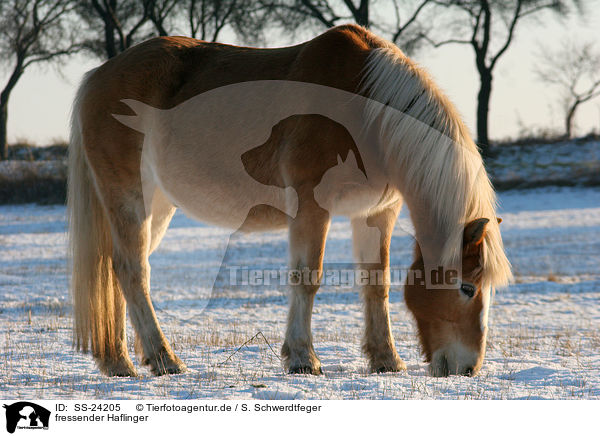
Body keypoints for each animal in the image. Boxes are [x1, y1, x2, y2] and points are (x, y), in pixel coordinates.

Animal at [69, 24, 510, 378]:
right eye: (467, 288)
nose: (468, 368)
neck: (367, 113)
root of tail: (97, 75)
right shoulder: (311, 206)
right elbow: (307, 277)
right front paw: (302, 358)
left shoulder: (375, 213)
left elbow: (376, 282)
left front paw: (385, 359)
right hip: (131, 198)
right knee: (132, 271)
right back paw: (162, 359)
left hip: (158, 207)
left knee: (117, 271)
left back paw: (119, 360)